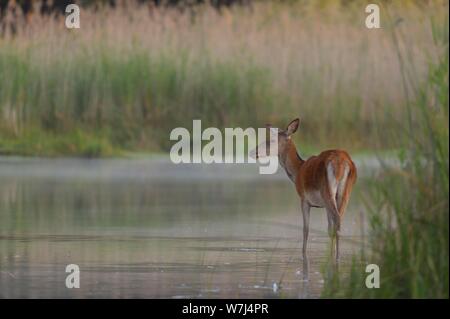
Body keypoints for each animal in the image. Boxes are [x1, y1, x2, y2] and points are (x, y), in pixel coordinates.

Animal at [248, 119, 356, 262]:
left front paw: (304, 254)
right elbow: (328, 228)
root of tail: (343, 163)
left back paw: (338, 257)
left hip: (327, 191)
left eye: (271, 140)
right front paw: (329, 255)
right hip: (345, 193)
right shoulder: (323, 205)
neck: (297, 171)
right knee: (339, 220)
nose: (252, 152)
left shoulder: (304, 199)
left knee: (337, 219)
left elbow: (306, 229)